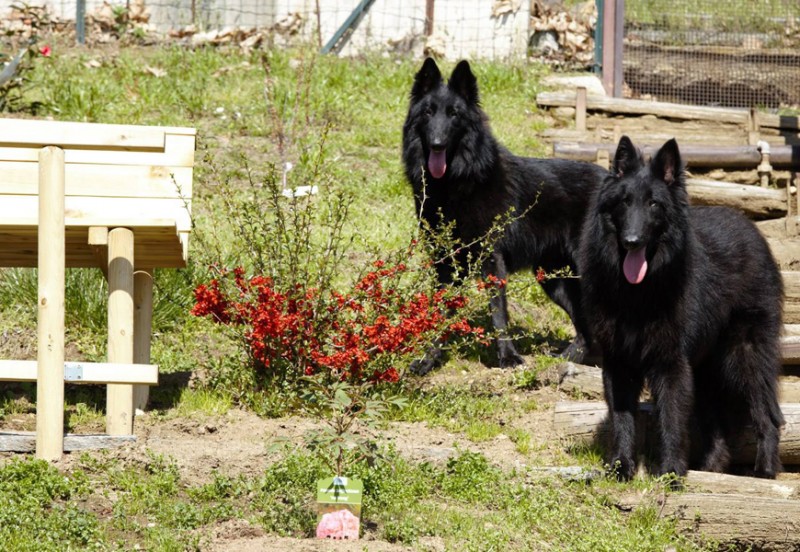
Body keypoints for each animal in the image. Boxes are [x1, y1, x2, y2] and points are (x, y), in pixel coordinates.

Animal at [404, 57, 608, 376]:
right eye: (428, 112)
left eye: (454, 114)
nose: (437, 144)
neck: (457, 181)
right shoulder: (445, 264)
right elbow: (438, 312)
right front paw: (428, 359)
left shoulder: (492, 260)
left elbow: (498, 311)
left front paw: (508, 357)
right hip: (555, 279)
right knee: (585, 330)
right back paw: (565, 361)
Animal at [580, 137, 784, 478]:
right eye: (624, 202)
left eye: (654, 204)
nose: (632, 241)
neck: (638, 293)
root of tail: (751, 228)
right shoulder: (619, 362)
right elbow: (622, 417)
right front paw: (621, 467)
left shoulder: (671, 362)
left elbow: (671, 418)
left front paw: (672, 473)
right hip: (705, 372)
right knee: (718, 427)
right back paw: (710, 468)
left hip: (744, 358)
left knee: (767, 413)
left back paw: (765, 471)